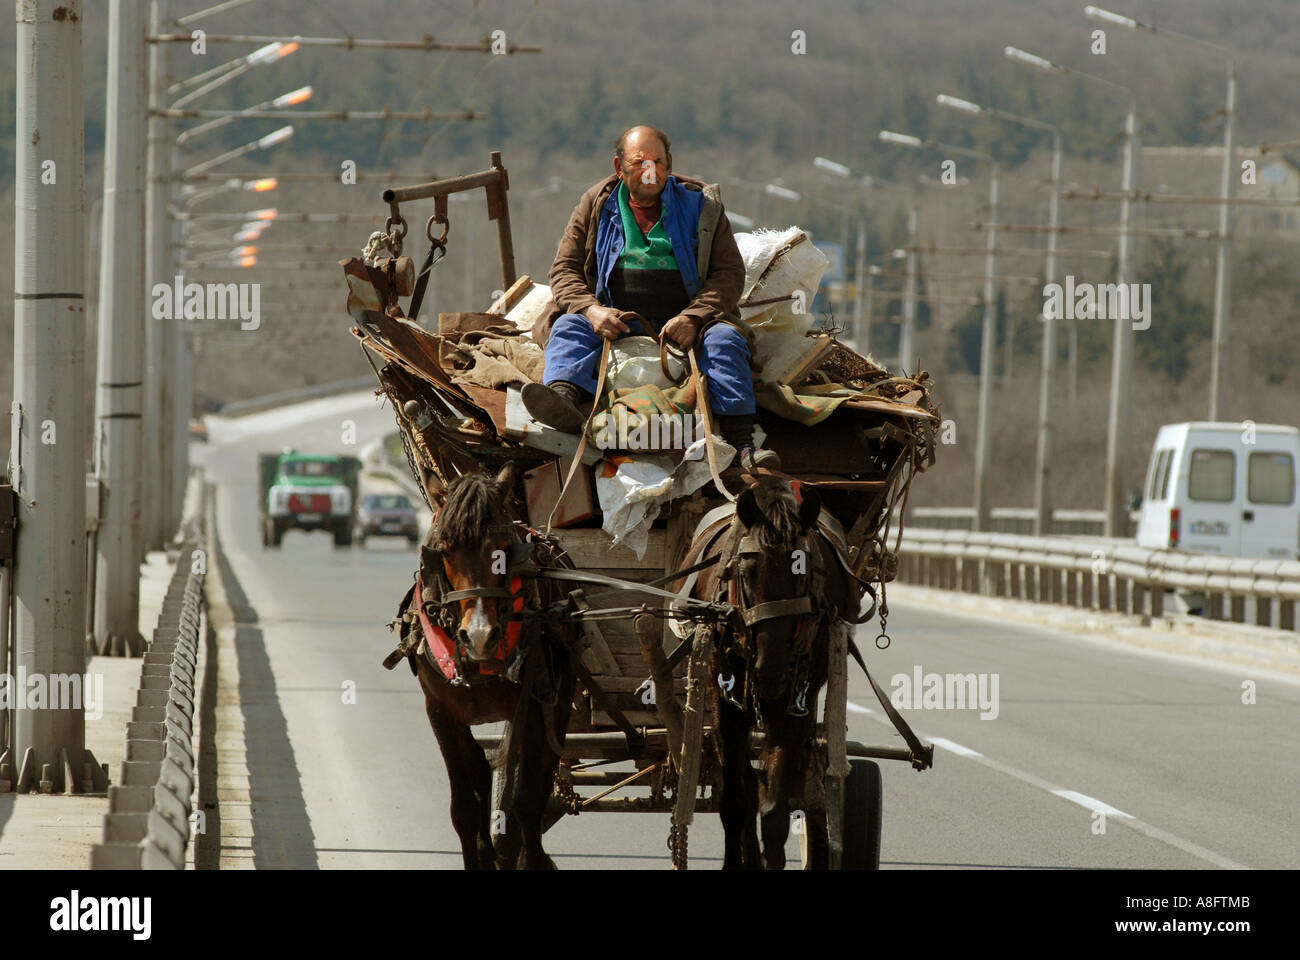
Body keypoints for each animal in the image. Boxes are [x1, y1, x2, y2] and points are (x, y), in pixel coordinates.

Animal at [400, 463, 574, 868]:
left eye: (504, 550)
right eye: (444, 549)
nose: (479, 636)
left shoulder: (529, 708)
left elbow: (525, 803)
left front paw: (528, 857)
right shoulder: (440, 711)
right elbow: (463, 808)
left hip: (557, 702)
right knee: (482, 771)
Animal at [691, 478, 863, 868]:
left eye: (803, 574)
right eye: (746, 571)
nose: (770, 674)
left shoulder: (793, 703)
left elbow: (774, 812)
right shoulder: (724, 706)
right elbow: (734, 802)